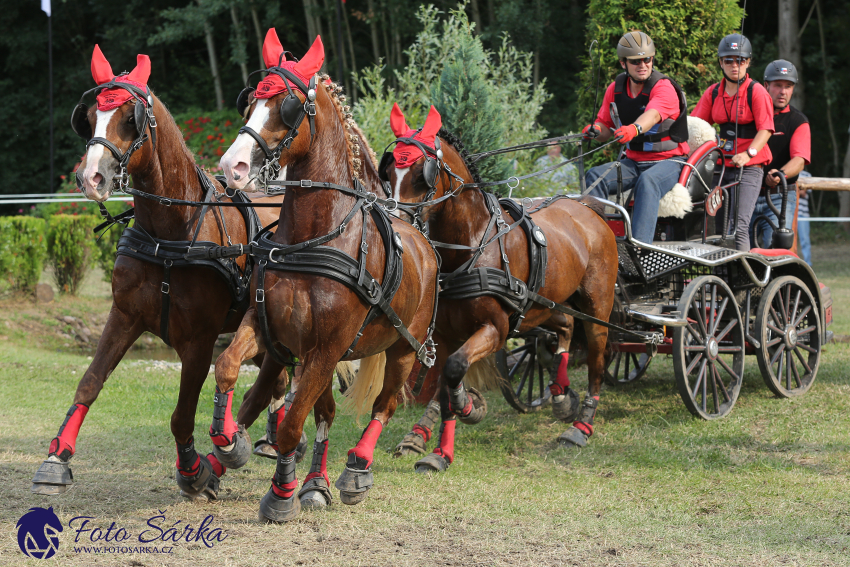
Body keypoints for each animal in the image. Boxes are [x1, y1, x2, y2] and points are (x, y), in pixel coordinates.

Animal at [30, 47, 292, 502]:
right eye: (90, 117)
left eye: (128, 118)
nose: (91, 177)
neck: (171, 232)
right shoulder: (124, 316)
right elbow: (90, 381)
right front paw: (57, 457)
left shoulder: (199, 340)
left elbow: (182, 414)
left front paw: (193, 470)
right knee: (276, 381)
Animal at [215, 32, 438, 524]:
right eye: (250, 102)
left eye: (288, 106)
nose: (232, 167)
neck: (314, 239)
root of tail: (421, 238)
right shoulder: (269, 329)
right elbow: (230, 371)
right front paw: (227, 441)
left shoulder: (326, 347)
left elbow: (291, 424)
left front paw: (280, 494)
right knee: (313, 409)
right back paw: (305, 479)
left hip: (403, 348)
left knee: (384, 404)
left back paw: (355, 470)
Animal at [384, 105, 616, 470]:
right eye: (389, 170)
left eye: (424, 173)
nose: (396, 220)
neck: (472, 243)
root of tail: (587, 208)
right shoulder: (446, 335)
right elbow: (445, 382)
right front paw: (441, 451)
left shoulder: (496, 328)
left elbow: (454, 370)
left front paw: (468, 406)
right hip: (544, 304)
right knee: (564, 328)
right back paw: (561, 395)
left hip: (596, 309)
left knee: (596, 358)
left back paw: (581, 426)